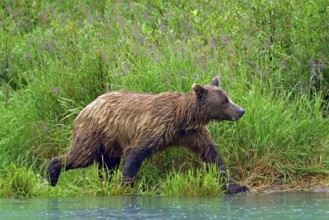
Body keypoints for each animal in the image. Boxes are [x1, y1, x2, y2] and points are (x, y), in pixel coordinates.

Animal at [47, 76, 249, 193]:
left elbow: (212, 155)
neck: (183, 118)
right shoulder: (156, 126)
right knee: (81, 156)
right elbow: (135, 153)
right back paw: (52, 175)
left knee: (108, 165)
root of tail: (87, 106)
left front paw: (238, 187)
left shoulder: (193, 134)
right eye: (224, 101)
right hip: (94, 133)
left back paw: (105, 182)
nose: (241, 110)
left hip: (111, 142)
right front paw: (127, 186)